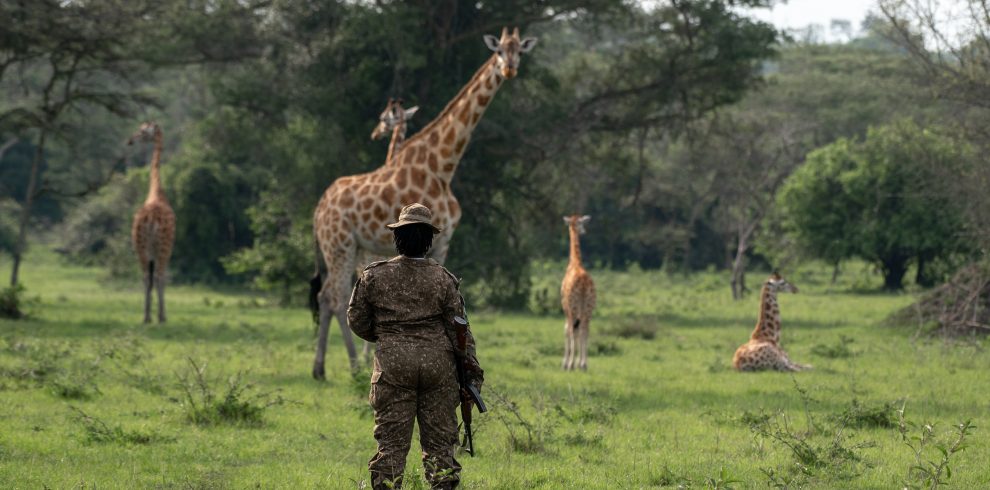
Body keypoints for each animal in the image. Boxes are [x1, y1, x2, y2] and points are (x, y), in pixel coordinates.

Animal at [312, 27, 540, 378]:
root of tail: (319, 209)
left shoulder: (443, 240)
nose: (510, 69)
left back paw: (322, 369)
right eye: (500, 51)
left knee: (326, 297)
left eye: (519, 52)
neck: (443, 166)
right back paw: (352, 367)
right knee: (336, 298)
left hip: (344, 247)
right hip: (339, 244)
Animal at [560, 214, 600, 372]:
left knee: (574, 330)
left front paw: (566, 363)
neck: (575, 263)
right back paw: (583, 364)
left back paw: (573, 364)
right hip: (589, 307)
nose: (584, 231)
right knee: (585, 329)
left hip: (574, 307)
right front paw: (576, 362)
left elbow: (567, 330)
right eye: (581, 223)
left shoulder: (566, 307)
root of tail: (583, 284)